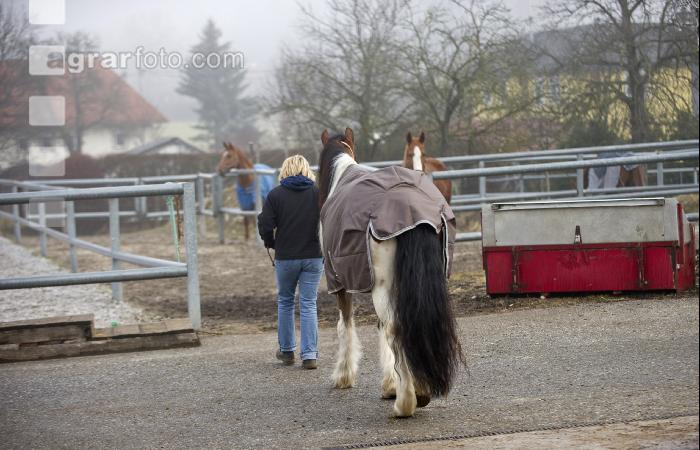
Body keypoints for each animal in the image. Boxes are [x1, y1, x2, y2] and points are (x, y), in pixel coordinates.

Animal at [318, 127, 463, 418]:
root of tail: (411, 209)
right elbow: (380, 328)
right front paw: (389, 383)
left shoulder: (339, 283)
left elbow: (345, 325)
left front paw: (344, 375)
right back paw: (419, 389)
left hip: (382, 287)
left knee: (397, 328)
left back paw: (406, 402)